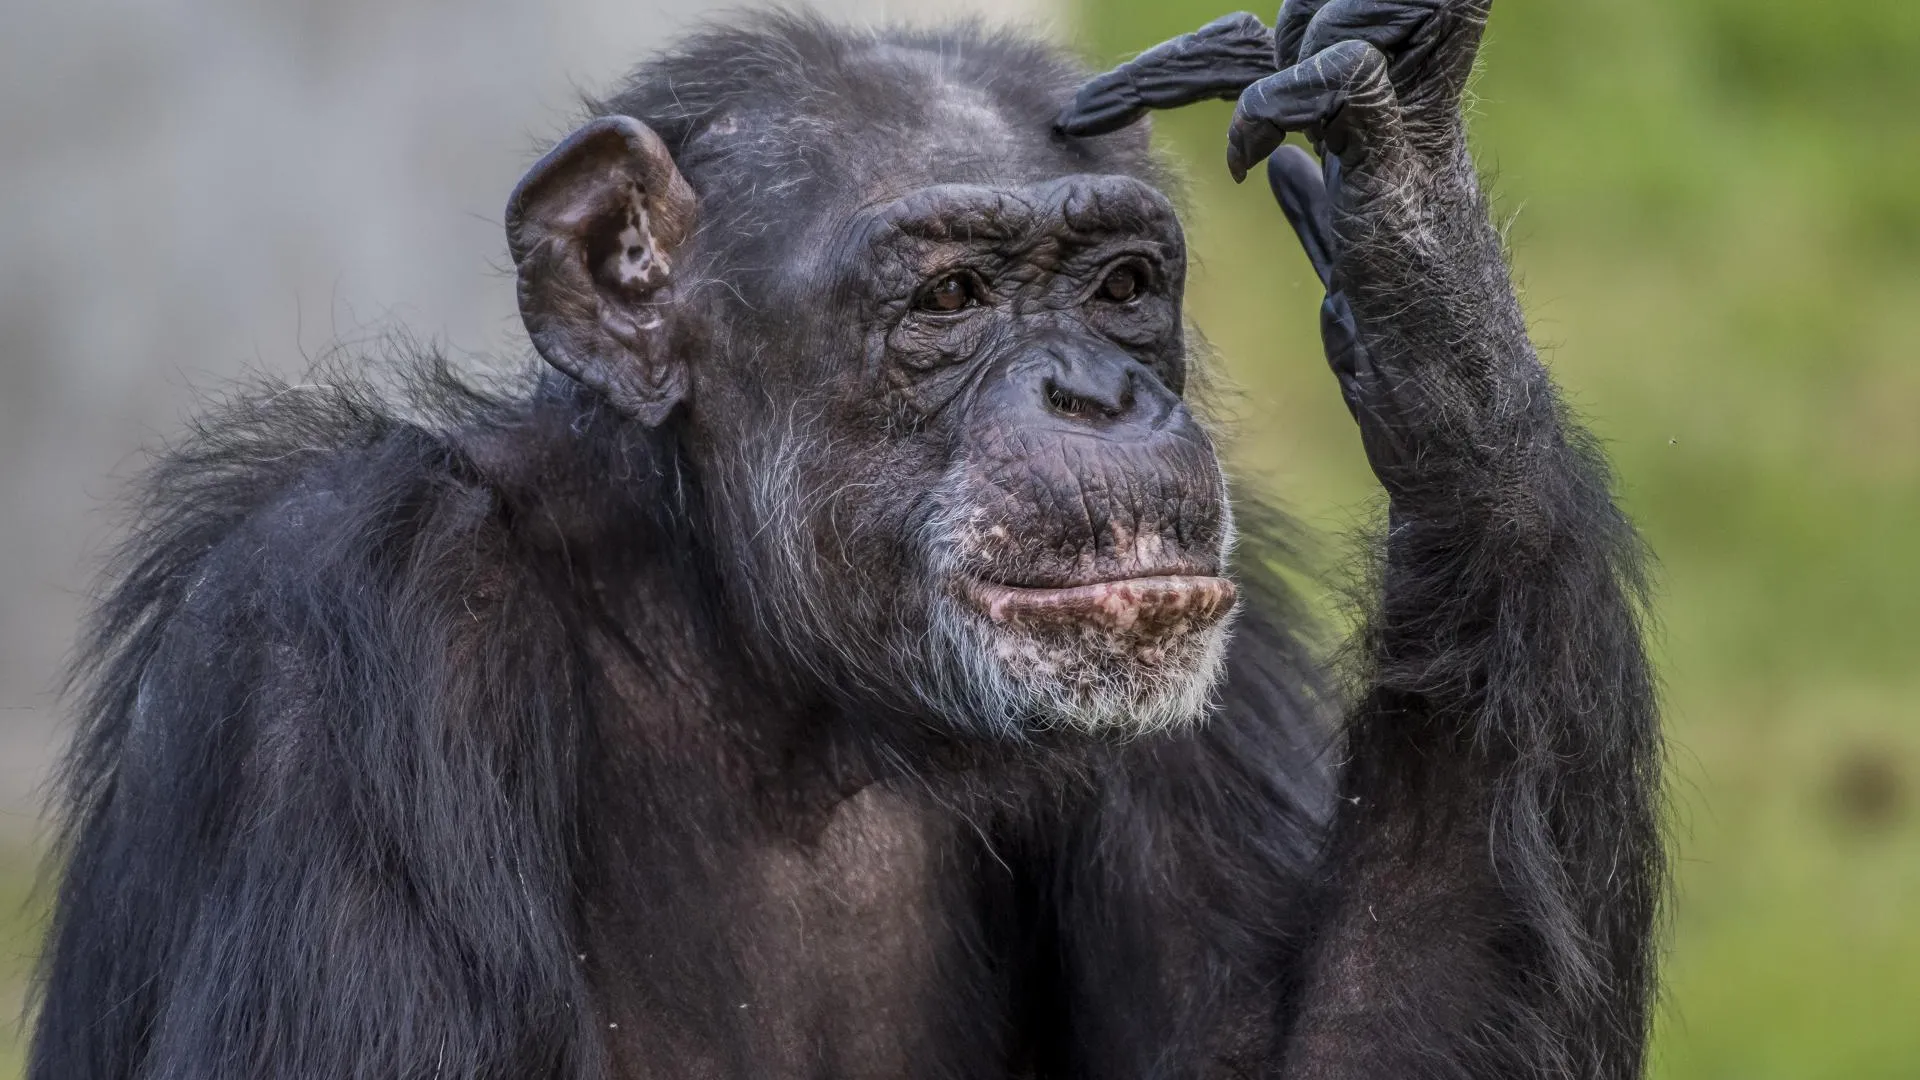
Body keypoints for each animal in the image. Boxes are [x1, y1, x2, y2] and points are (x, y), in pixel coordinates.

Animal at [26, 2, 1666, 1076]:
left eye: (1123, 284)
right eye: (949, 297)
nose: (1098, 393)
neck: (767, 680)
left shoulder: (1216, 658)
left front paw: (1414, 237)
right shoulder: (335, 633)